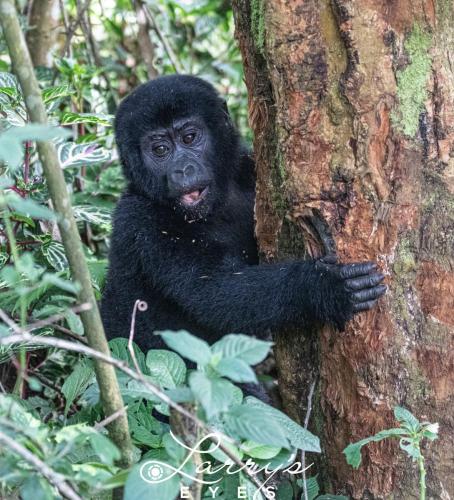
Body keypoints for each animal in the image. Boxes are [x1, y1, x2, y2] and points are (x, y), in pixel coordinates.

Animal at [102, 76, 386, 354]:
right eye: (160, 150)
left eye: (190, 137)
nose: (183, 169)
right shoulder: (140, 220)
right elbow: (216, 290)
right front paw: (321, 287)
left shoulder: (248, 168)